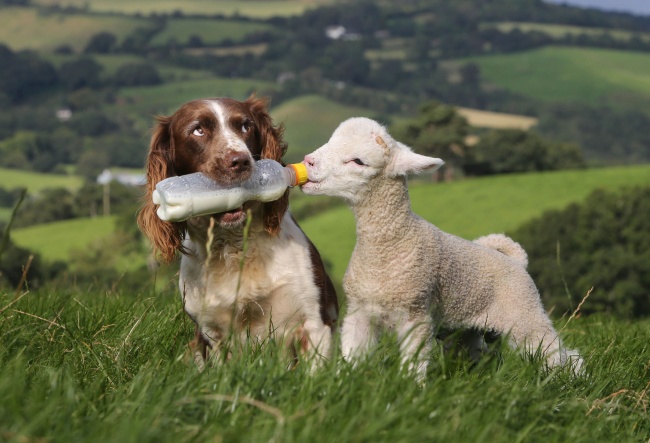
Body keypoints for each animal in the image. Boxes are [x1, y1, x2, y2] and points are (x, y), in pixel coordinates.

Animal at [137, 95, 340, 370]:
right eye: (198, 130)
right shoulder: (212, 333)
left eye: (245, 126)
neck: (235, 246)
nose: (240, 161)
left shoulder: (314, 322)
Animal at [300, 117, 584, 378]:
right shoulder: (359, 312)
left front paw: (410, 390)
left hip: (524, 313)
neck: (389, 246)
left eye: (358, 161)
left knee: (557, 353)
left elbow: (413, 364)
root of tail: (516, 260)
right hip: (466, 329)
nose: (308, 161)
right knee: (480, 354)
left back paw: (571, 379)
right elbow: (352, 356)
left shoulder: (415, 313)